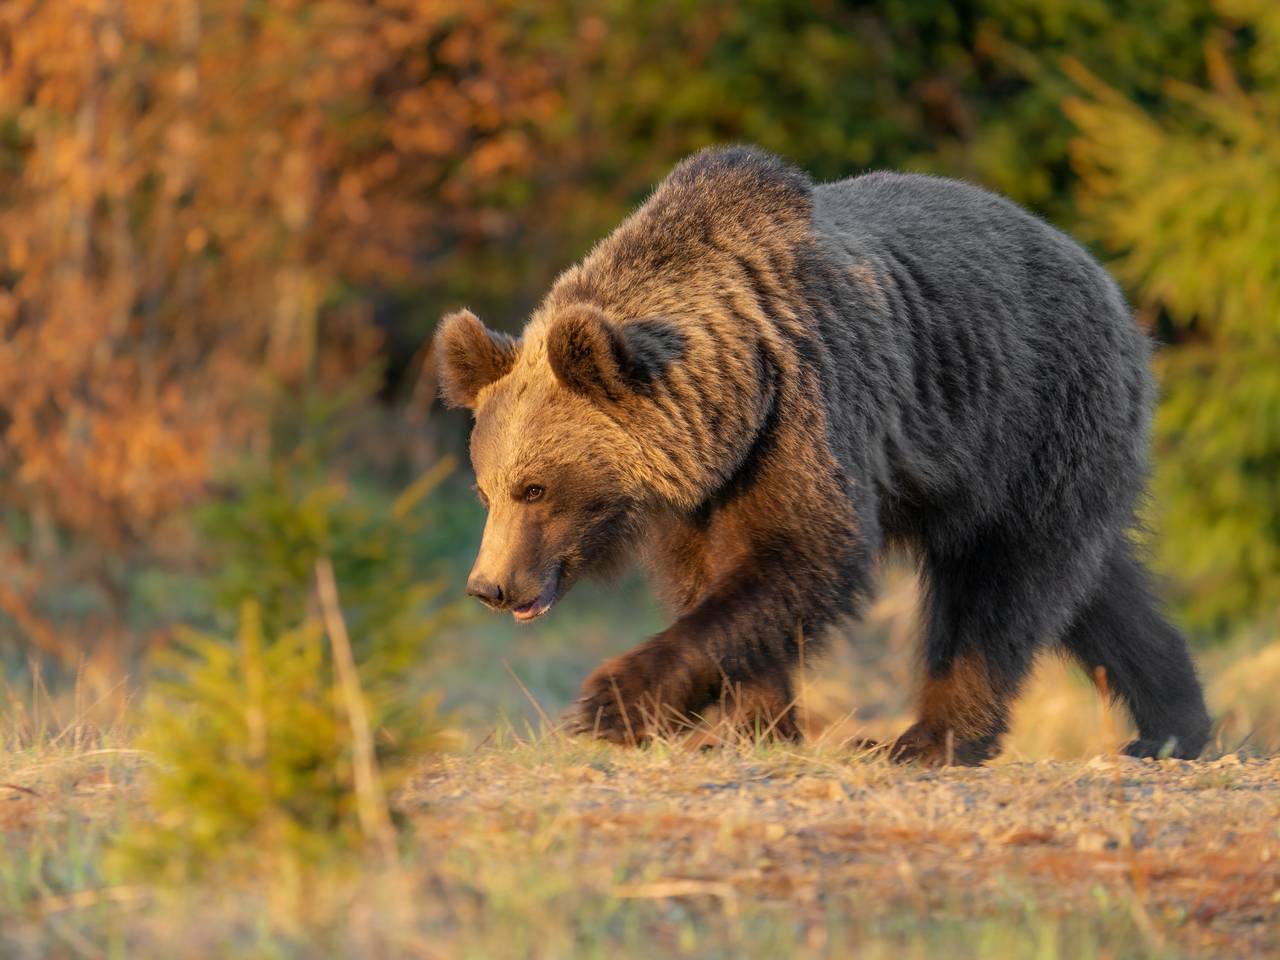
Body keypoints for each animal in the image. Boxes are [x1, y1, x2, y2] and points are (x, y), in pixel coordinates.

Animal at [435, 145, 1211, 764]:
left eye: (535, 487)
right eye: (486, 489)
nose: (490, 586)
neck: (732, 396)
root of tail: (1108, 282)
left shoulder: (806, 409)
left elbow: (805, 552)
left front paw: (612, 702)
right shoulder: (704, 490)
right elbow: (715, 581)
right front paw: (752, 723)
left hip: (1030, 418)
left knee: (997, 589)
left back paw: (930, 737)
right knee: (1097, 588)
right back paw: (1173, 724)